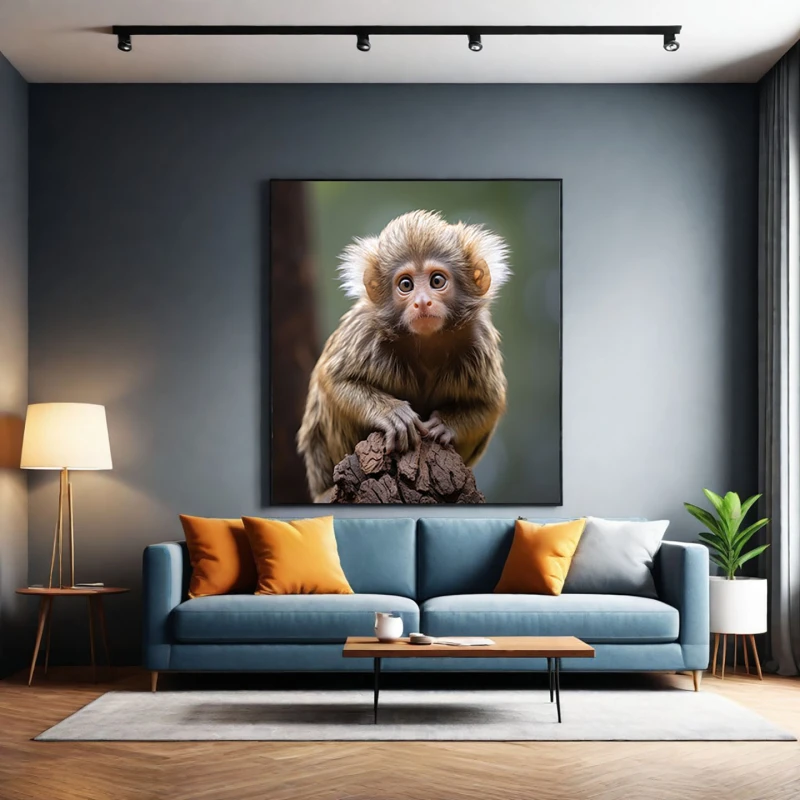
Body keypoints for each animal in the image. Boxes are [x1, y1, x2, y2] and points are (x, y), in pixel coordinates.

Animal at [296, 209, 510, 502]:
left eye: (437, 281)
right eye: (406, 284)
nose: (421, 302)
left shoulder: (480, 340)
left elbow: (489, 403)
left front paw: (446, 425)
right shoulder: (364, 331)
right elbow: (333, 380)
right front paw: (391, 413)